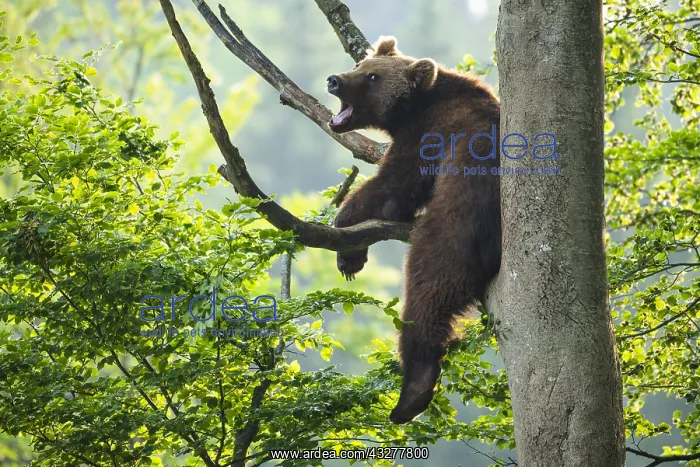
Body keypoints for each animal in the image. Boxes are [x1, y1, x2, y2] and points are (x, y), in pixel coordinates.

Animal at [327, 36, 501, 424]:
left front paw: (349, 253)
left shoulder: (429, 135)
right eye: (360, 64)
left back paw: (412, 391)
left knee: (427, 291)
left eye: (372, 76)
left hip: (455, 227)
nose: (335, 79)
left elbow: (392, 187)